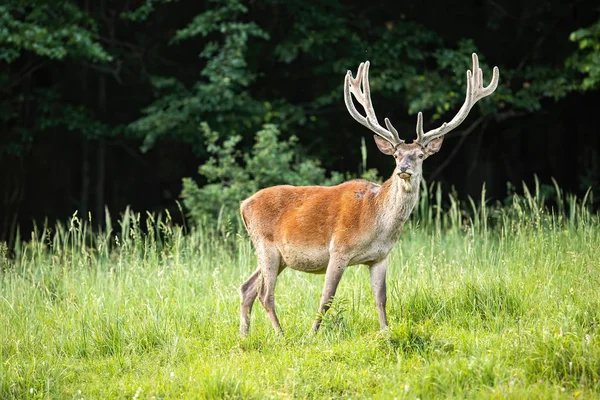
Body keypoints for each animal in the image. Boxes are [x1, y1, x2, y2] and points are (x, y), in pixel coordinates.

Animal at [238, 53, 496, 334]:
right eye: (396, 155)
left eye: (420, 155)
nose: (403, 169)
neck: (376, 222)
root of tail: (243, 205)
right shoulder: (338, 249)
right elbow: (327, 297)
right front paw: (312, 334)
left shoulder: (380, 257)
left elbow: (381, 298)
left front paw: (385, 332)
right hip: (266, 245)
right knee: (265, 294)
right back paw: (281, 335)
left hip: (277, 256)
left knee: (247, 287)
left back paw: (245, 336)